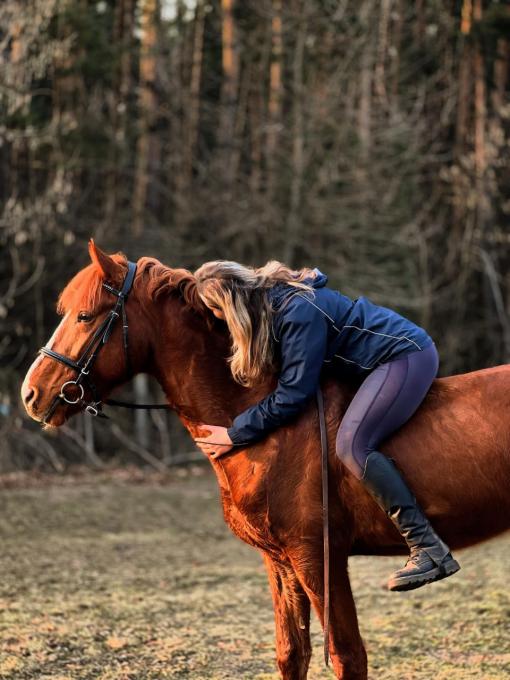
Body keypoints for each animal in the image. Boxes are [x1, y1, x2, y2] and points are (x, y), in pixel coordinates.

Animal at [21, 242, 510, 680]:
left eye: (85, 316)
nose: (31, 394)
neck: (263, 426)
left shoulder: (316, 557)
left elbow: (347, 657)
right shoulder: (281, 562)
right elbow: (292, 655)